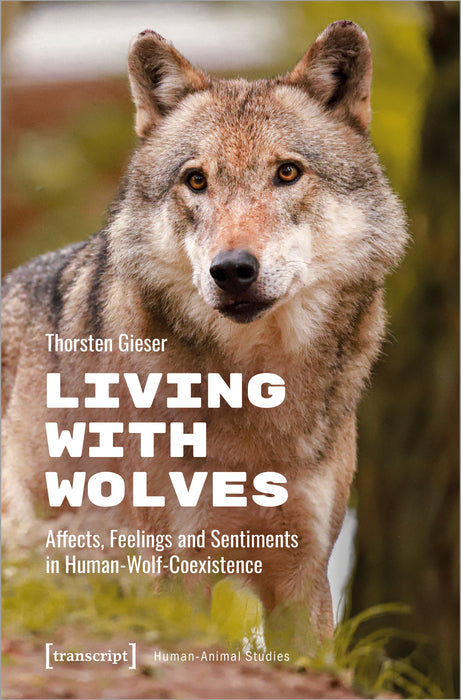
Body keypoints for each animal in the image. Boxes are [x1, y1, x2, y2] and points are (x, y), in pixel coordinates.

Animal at [2, 21, 407, 639]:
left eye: (287, 172)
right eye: (196, 180)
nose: (232, 269)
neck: (254, 390)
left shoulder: (304, 577)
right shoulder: (174, 572)